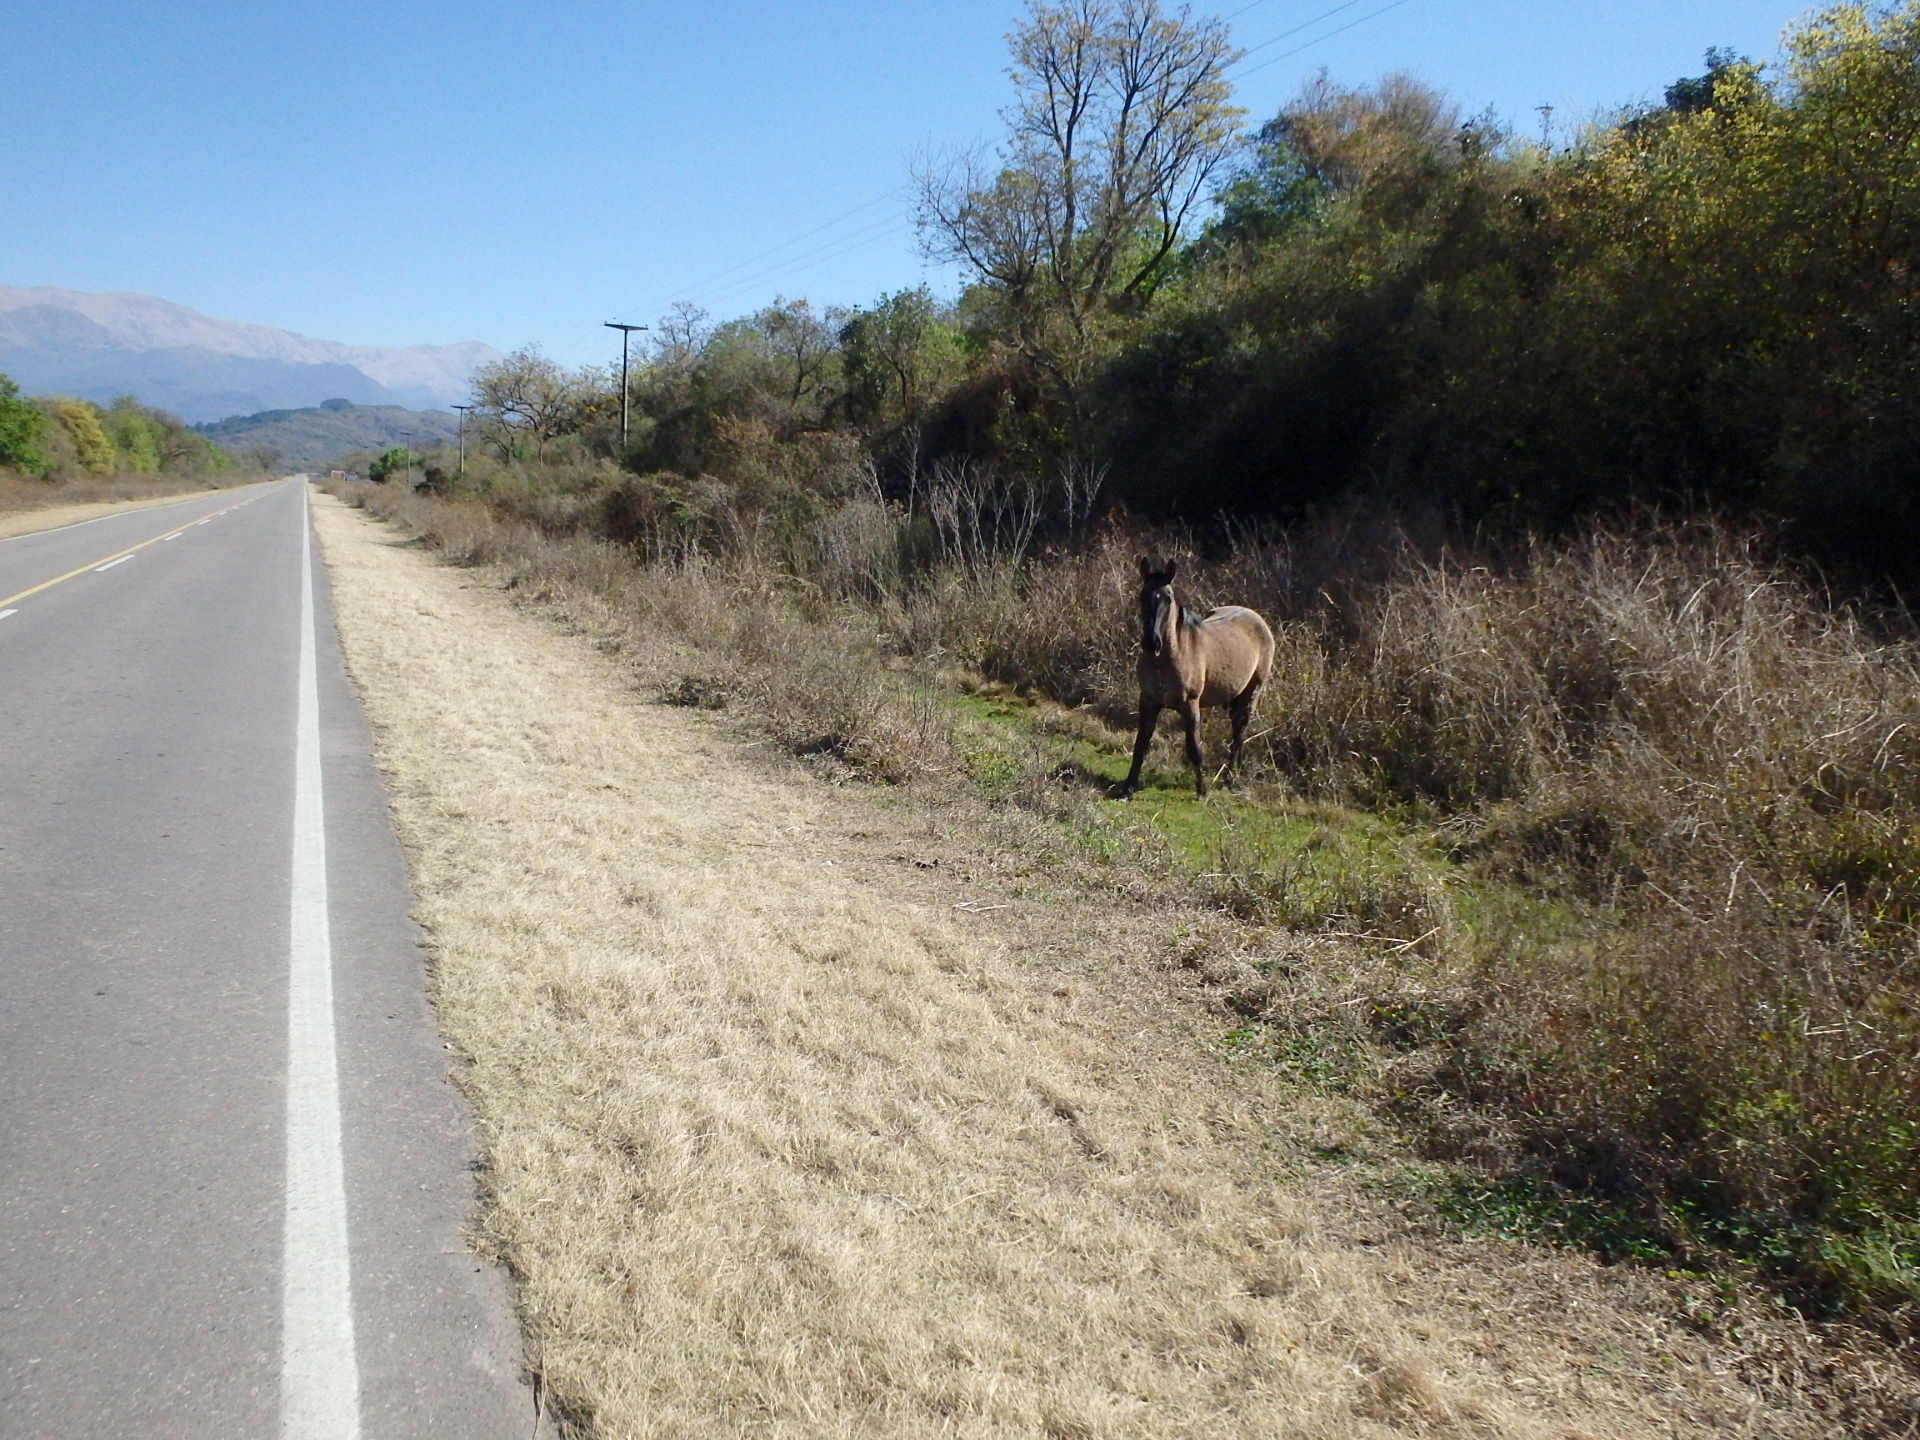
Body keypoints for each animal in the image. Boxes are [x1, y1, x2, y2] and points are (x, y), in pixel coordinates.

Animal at [1113, 556, 1274, 802]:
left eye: (1168, 598)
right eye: (1142, 595)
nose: (1151, 642)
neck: (1170, 655)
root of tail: (1256, 618)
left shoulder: (1190, 705)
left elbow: (1194, 749)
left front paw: (1202, 791)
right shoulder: (1148, 702)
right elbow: (1140, 745)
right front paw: (1127, 789)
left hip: (1252, 692)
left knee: (1239, 732)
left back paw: (1229, 779)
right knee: (1237, 732)